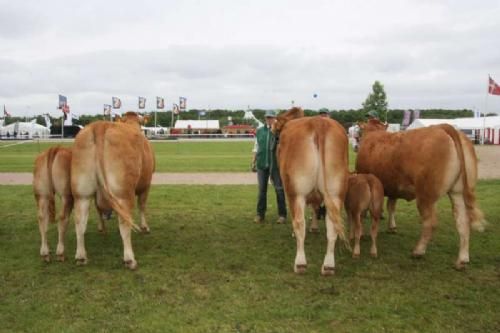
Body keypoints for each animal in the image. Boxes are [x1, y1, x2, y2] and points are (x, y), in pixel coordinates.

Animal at [71, 111, 154, 270]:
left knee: (80, 221)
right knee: (125, 222)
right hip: (123, 193)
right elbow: (142, 205)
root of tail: (100, 125)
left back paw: (81, 256)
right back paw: (129, 259)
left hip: (82, 193)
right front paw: (145, 227)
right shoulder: (146, 184)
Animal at [274, 107, 348, 274]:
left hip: (297, 192)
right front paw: (314, 227)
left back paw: (300, 263)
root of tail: (319, 123)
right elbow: (315, 207)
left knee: (300, 223)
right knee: (332, 226)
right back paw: (328, 266)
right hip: (336, 192)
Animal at [356, 119, 484, 270]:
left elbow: (365, 211)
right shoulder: (393, 186)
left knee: (430, 223)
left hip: (425, 196)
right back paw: (462, 260)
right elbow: (391, 206)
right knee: (462, 222)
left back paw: (418, 251)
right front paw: (392, 227)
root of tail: (443, 127)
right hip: (458, 192)